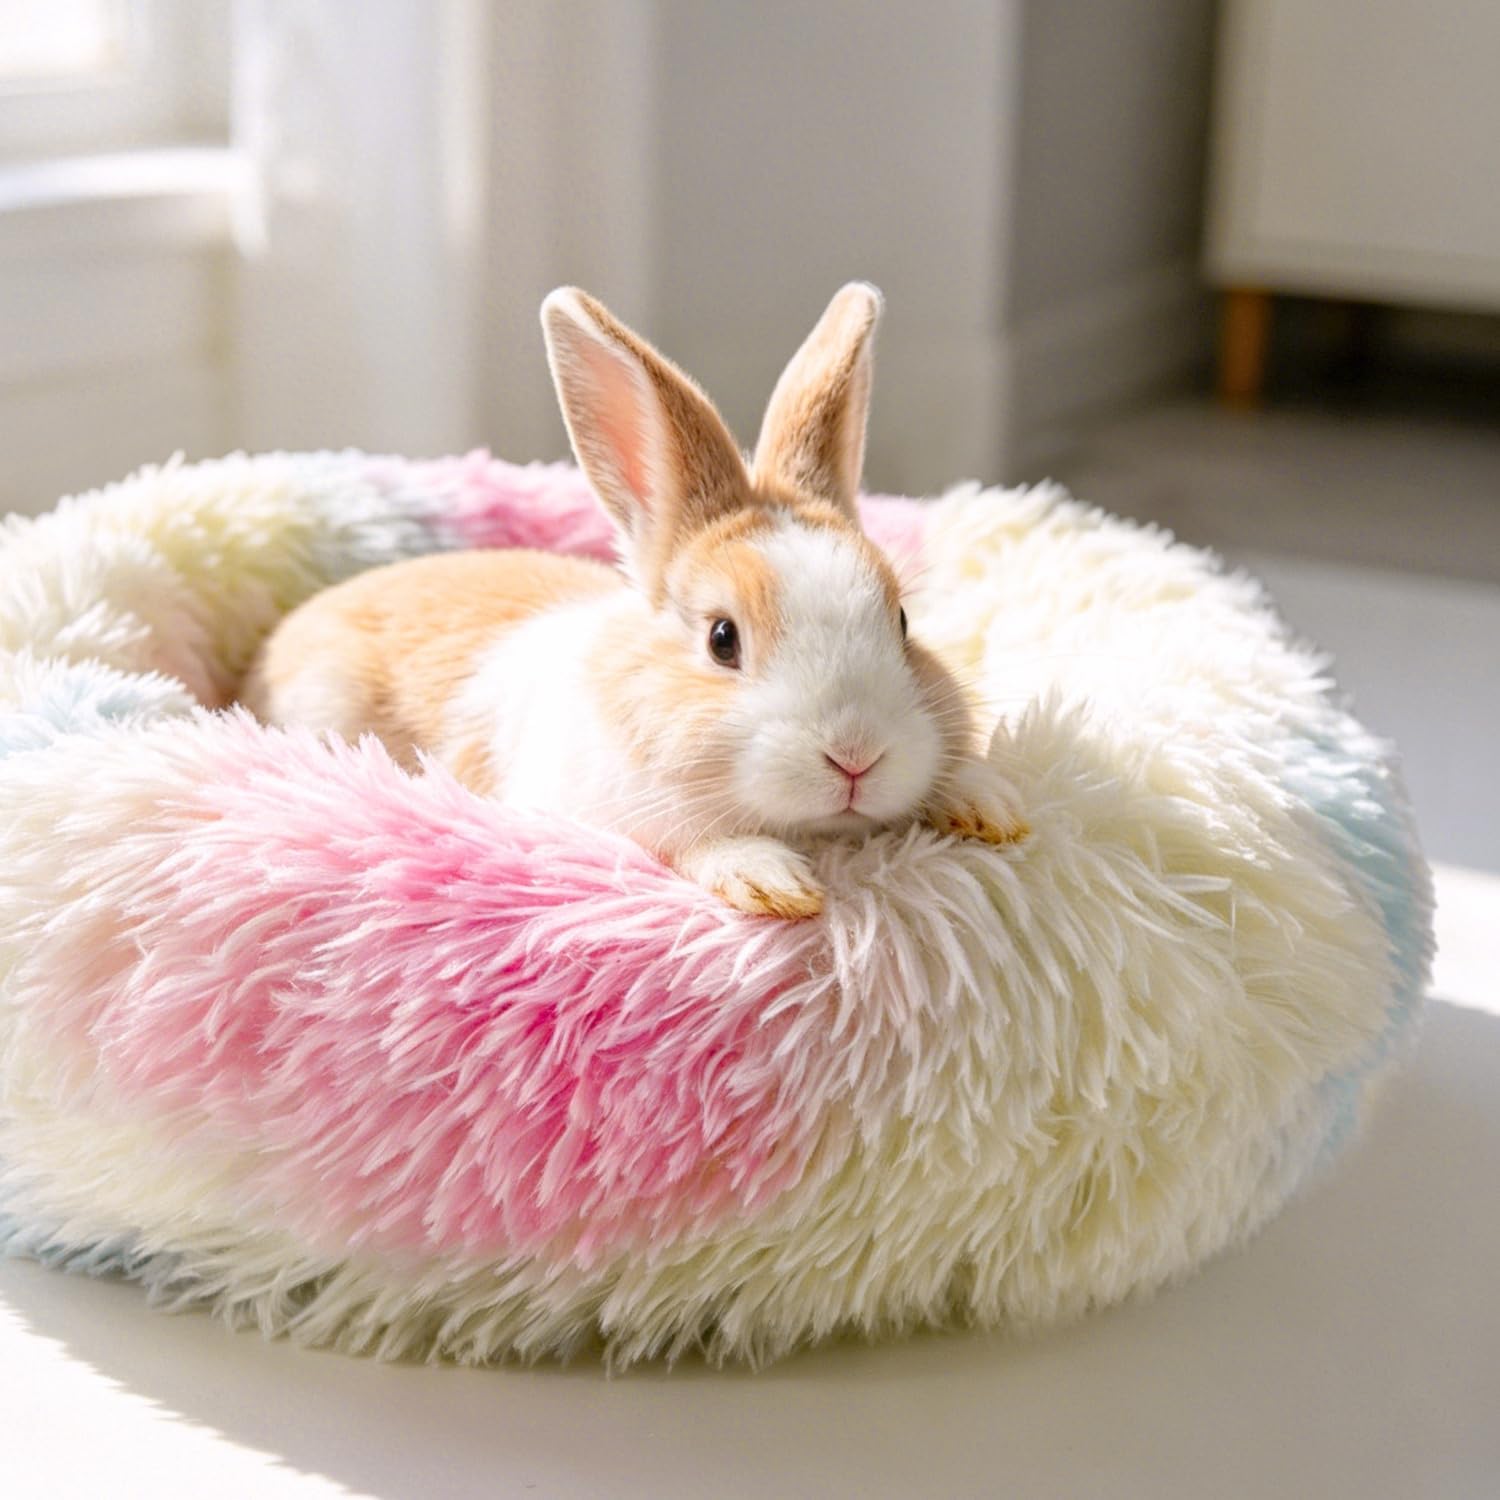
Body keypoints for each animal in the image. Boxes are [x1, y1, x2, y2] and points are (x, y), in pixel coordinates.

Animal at [243, 283, 1025, 917]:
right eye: (721, 638)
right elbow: (687, 844)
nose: (857, 757)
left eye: (902, 622)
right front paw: (768, 878)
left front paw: (990, 804)